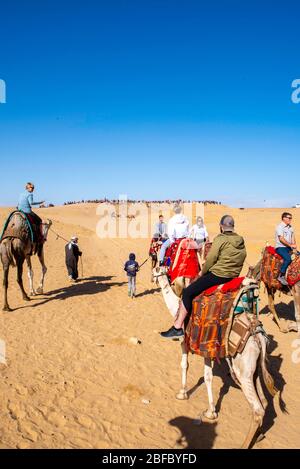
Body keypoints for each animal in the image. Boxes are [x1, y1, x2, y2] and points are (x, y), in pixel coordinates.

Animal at [154, 266, 278, 448]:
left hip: (243, 369)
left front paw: (182, 393)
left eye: (156, 270)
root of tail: (258, 335)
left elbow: (184, 365)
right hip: (254, 369)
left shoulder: (184, 341)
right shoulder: (207, 349)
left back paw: (245, 444)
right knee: (264, 400)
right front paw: (211, 412)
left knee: (257, 409)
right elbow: (208, 377)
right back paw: (259, 435)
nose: (153, 276)